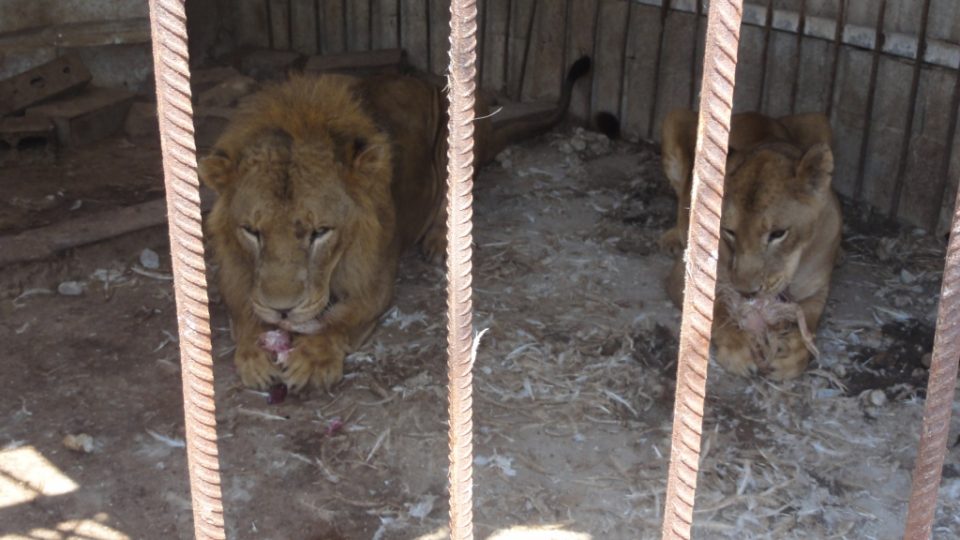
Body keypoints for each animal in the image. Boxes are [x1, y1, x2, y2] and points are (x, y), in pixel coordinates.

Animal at [200, 57, 592, 390]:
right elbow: (243, 307)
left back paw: (440, 242)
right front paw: (254, 355)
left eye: (320, 233)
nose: (282, 309)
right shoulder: (232, 272)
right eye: (252, 231)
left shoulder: (374, 280)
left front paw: (312, 361)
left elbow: (341, 320)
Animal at [660, 108, 840, 380]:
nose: (746, 292)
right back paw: (671, 239)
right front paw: (739, 349)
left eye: (778, 233)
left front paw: (794, 355)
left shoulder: (818, 292)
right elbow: (715, 312)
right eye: (729, 231)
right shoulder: (685, 275)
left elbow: (808, 325)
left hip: (819, 120)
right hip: (675, 117)